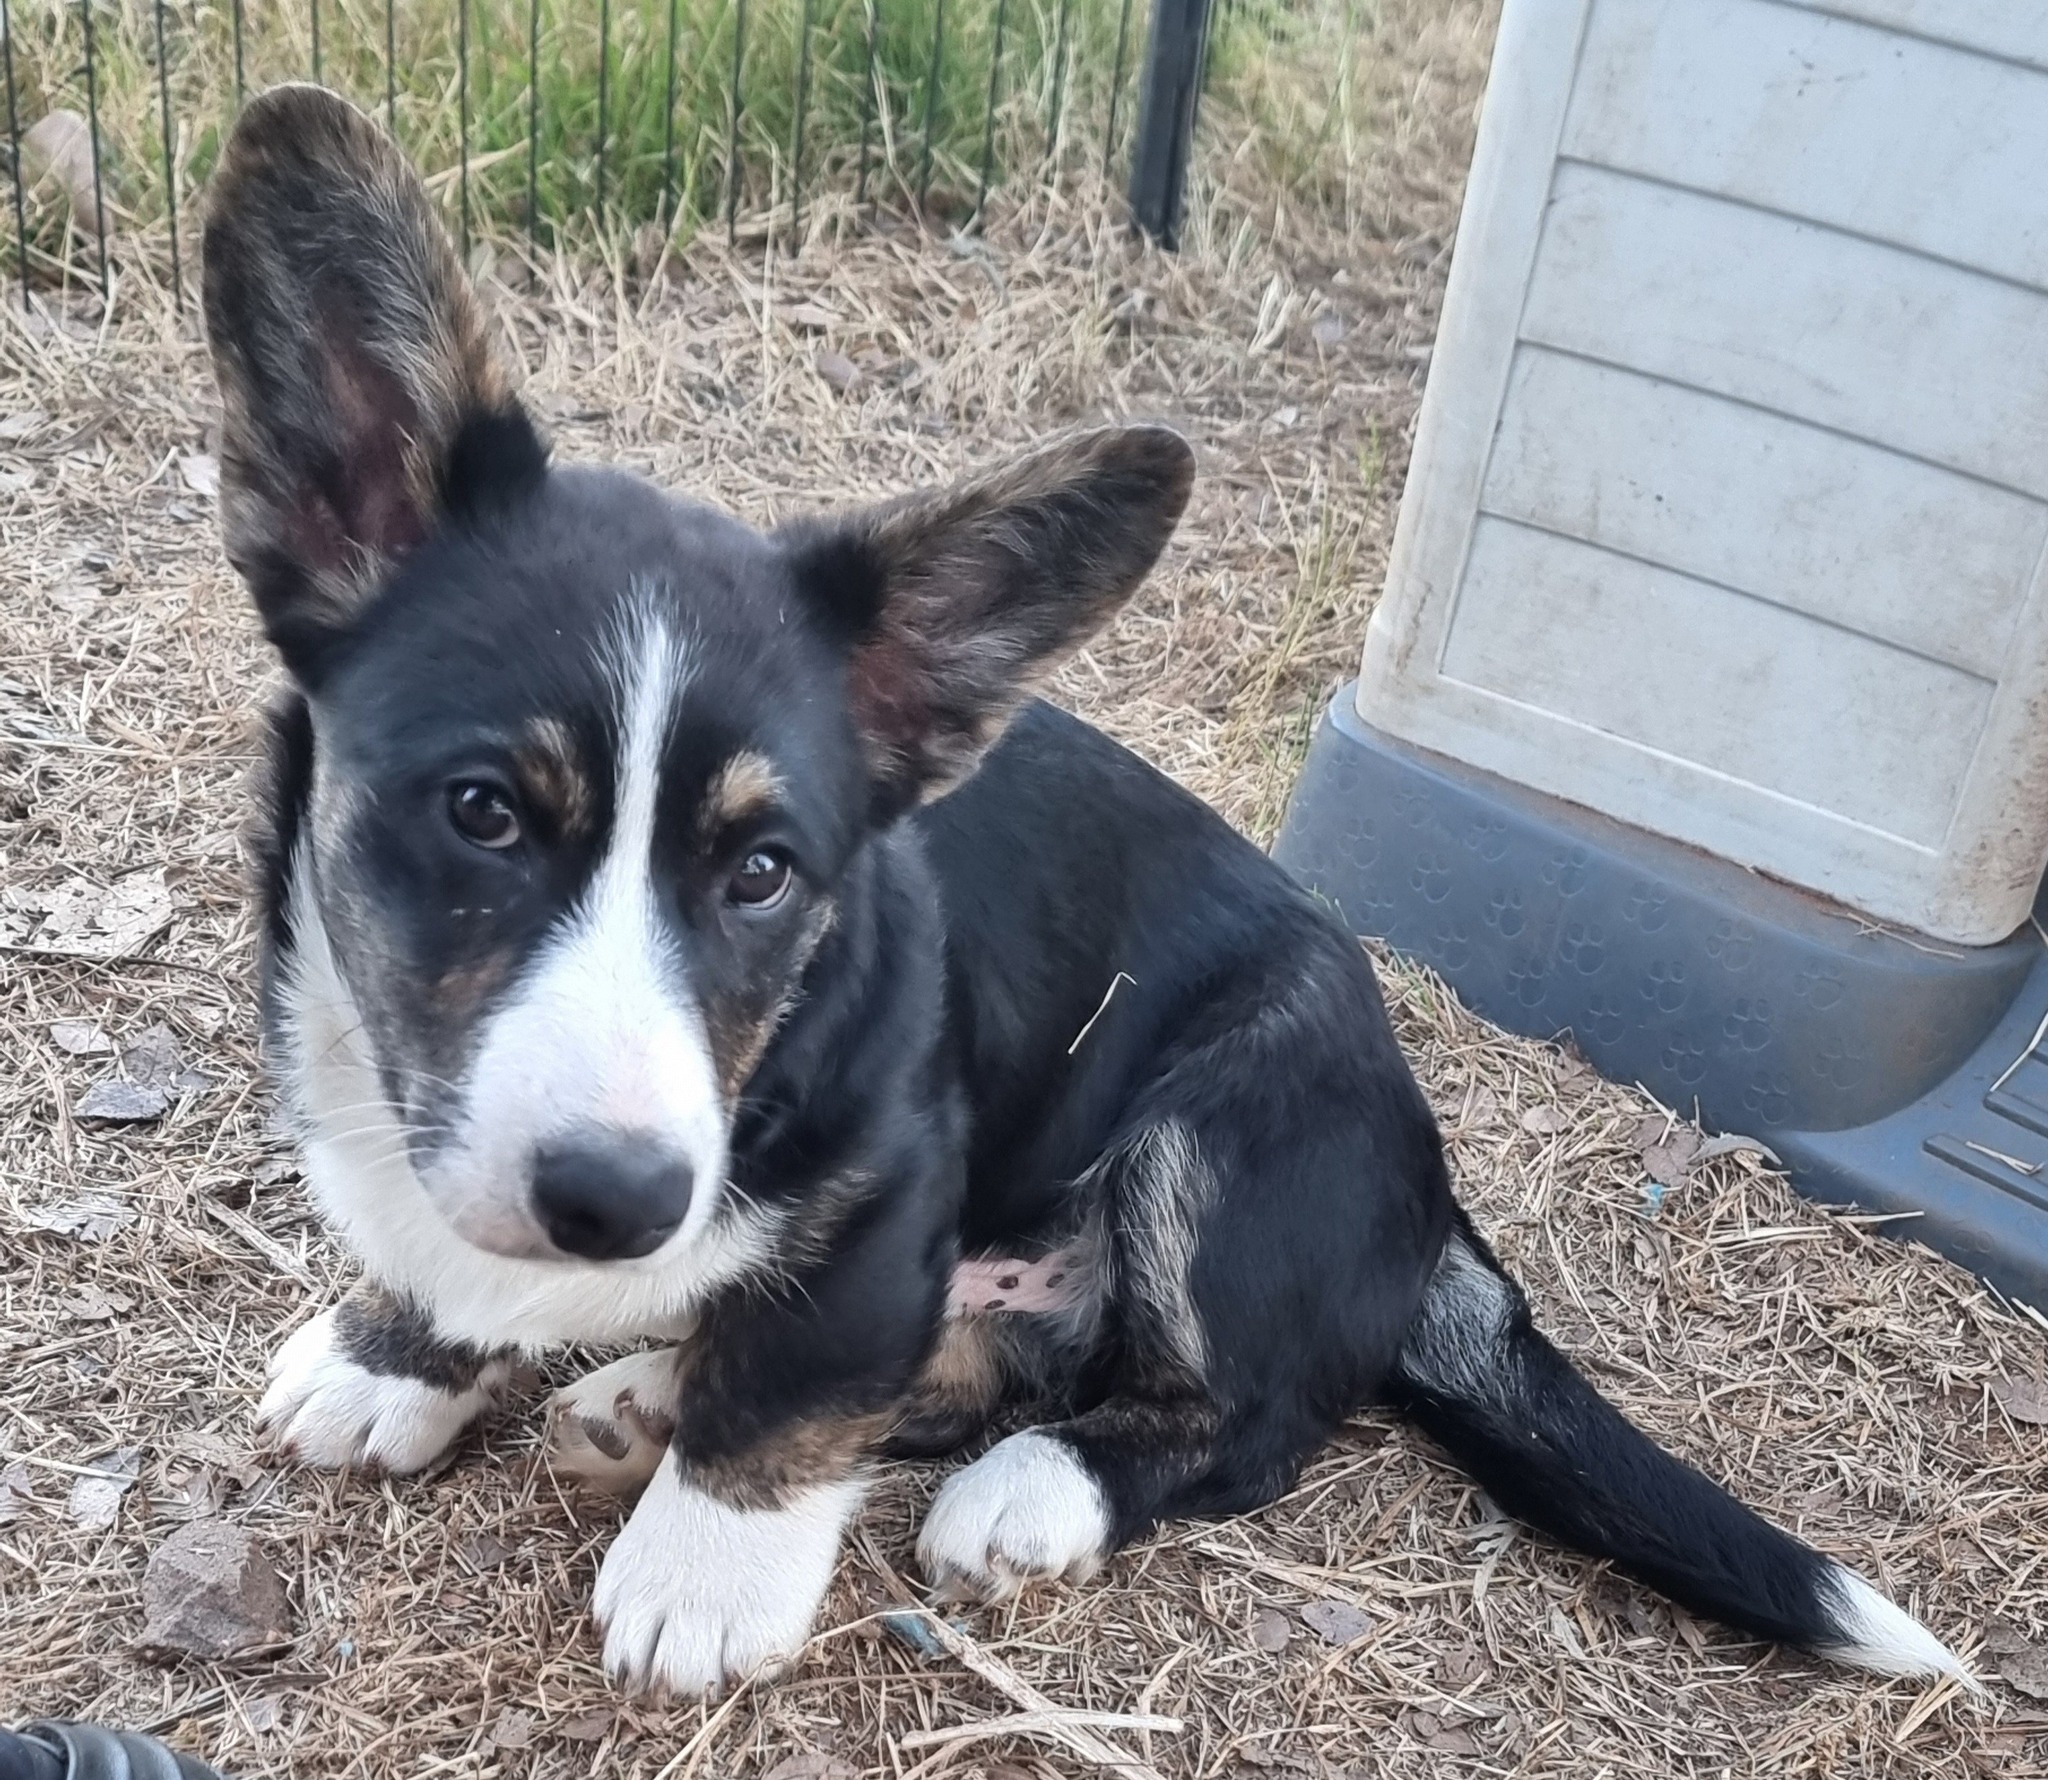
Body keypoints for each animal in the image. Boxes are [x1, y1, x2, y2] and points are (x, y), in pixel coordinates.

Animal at [201, 85, 1967, 1698]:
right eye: (482, 813)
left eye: (766, 874)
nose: (623, 1203)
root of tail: (1430, 1204)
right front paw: (398, 1356)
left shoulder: (895, 1181)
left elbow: (795, 1388)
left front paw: (706, 1578)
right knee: (981, 1358)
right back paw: (648, 1391)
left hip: (1232, 1119)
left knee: (1230, 1417)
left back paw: (1013, 1490)